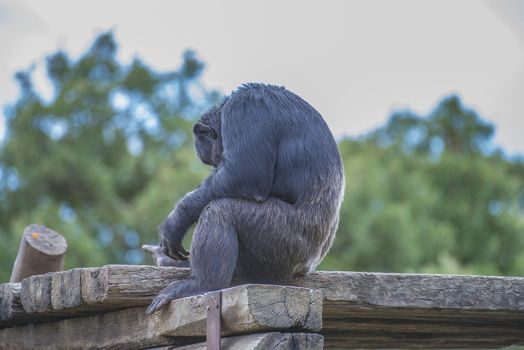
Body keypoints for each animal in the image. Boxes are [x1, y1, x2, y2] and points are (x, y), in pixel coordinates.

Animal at [145, 82, 346, 314]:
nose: (217, 164)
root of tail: (306, 267)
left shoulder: (246, 109)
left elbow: (244, 173)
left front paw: (176, 220)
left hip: (283, 242)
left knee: (221, 210)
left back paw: (202, 285)